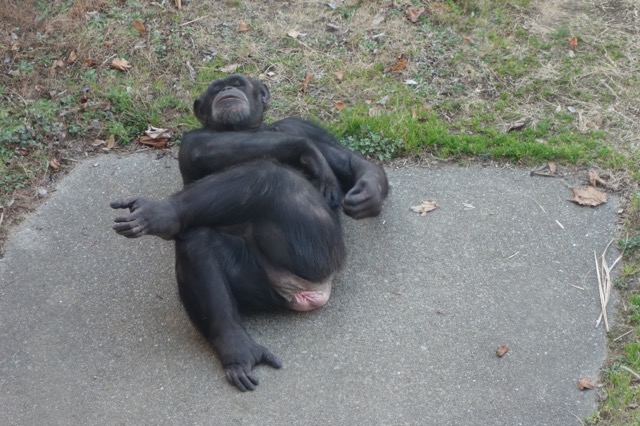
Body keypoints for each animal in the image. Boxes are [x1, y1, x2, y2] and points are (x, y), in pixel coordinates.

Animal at [110, 74, 388, 392]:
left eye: (237, 82)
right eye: (216, 88)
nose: (228, 89)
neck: (247, 128)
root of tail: (310, 293)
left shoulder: (302, 124)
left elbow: (347, 160)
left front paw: (367, 193)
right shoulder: (197, 140)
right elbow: (199, 146)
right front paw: (305, 150)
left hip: (318, 255)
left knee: (269, 177)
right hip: (265, 288)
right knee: (201, 236)